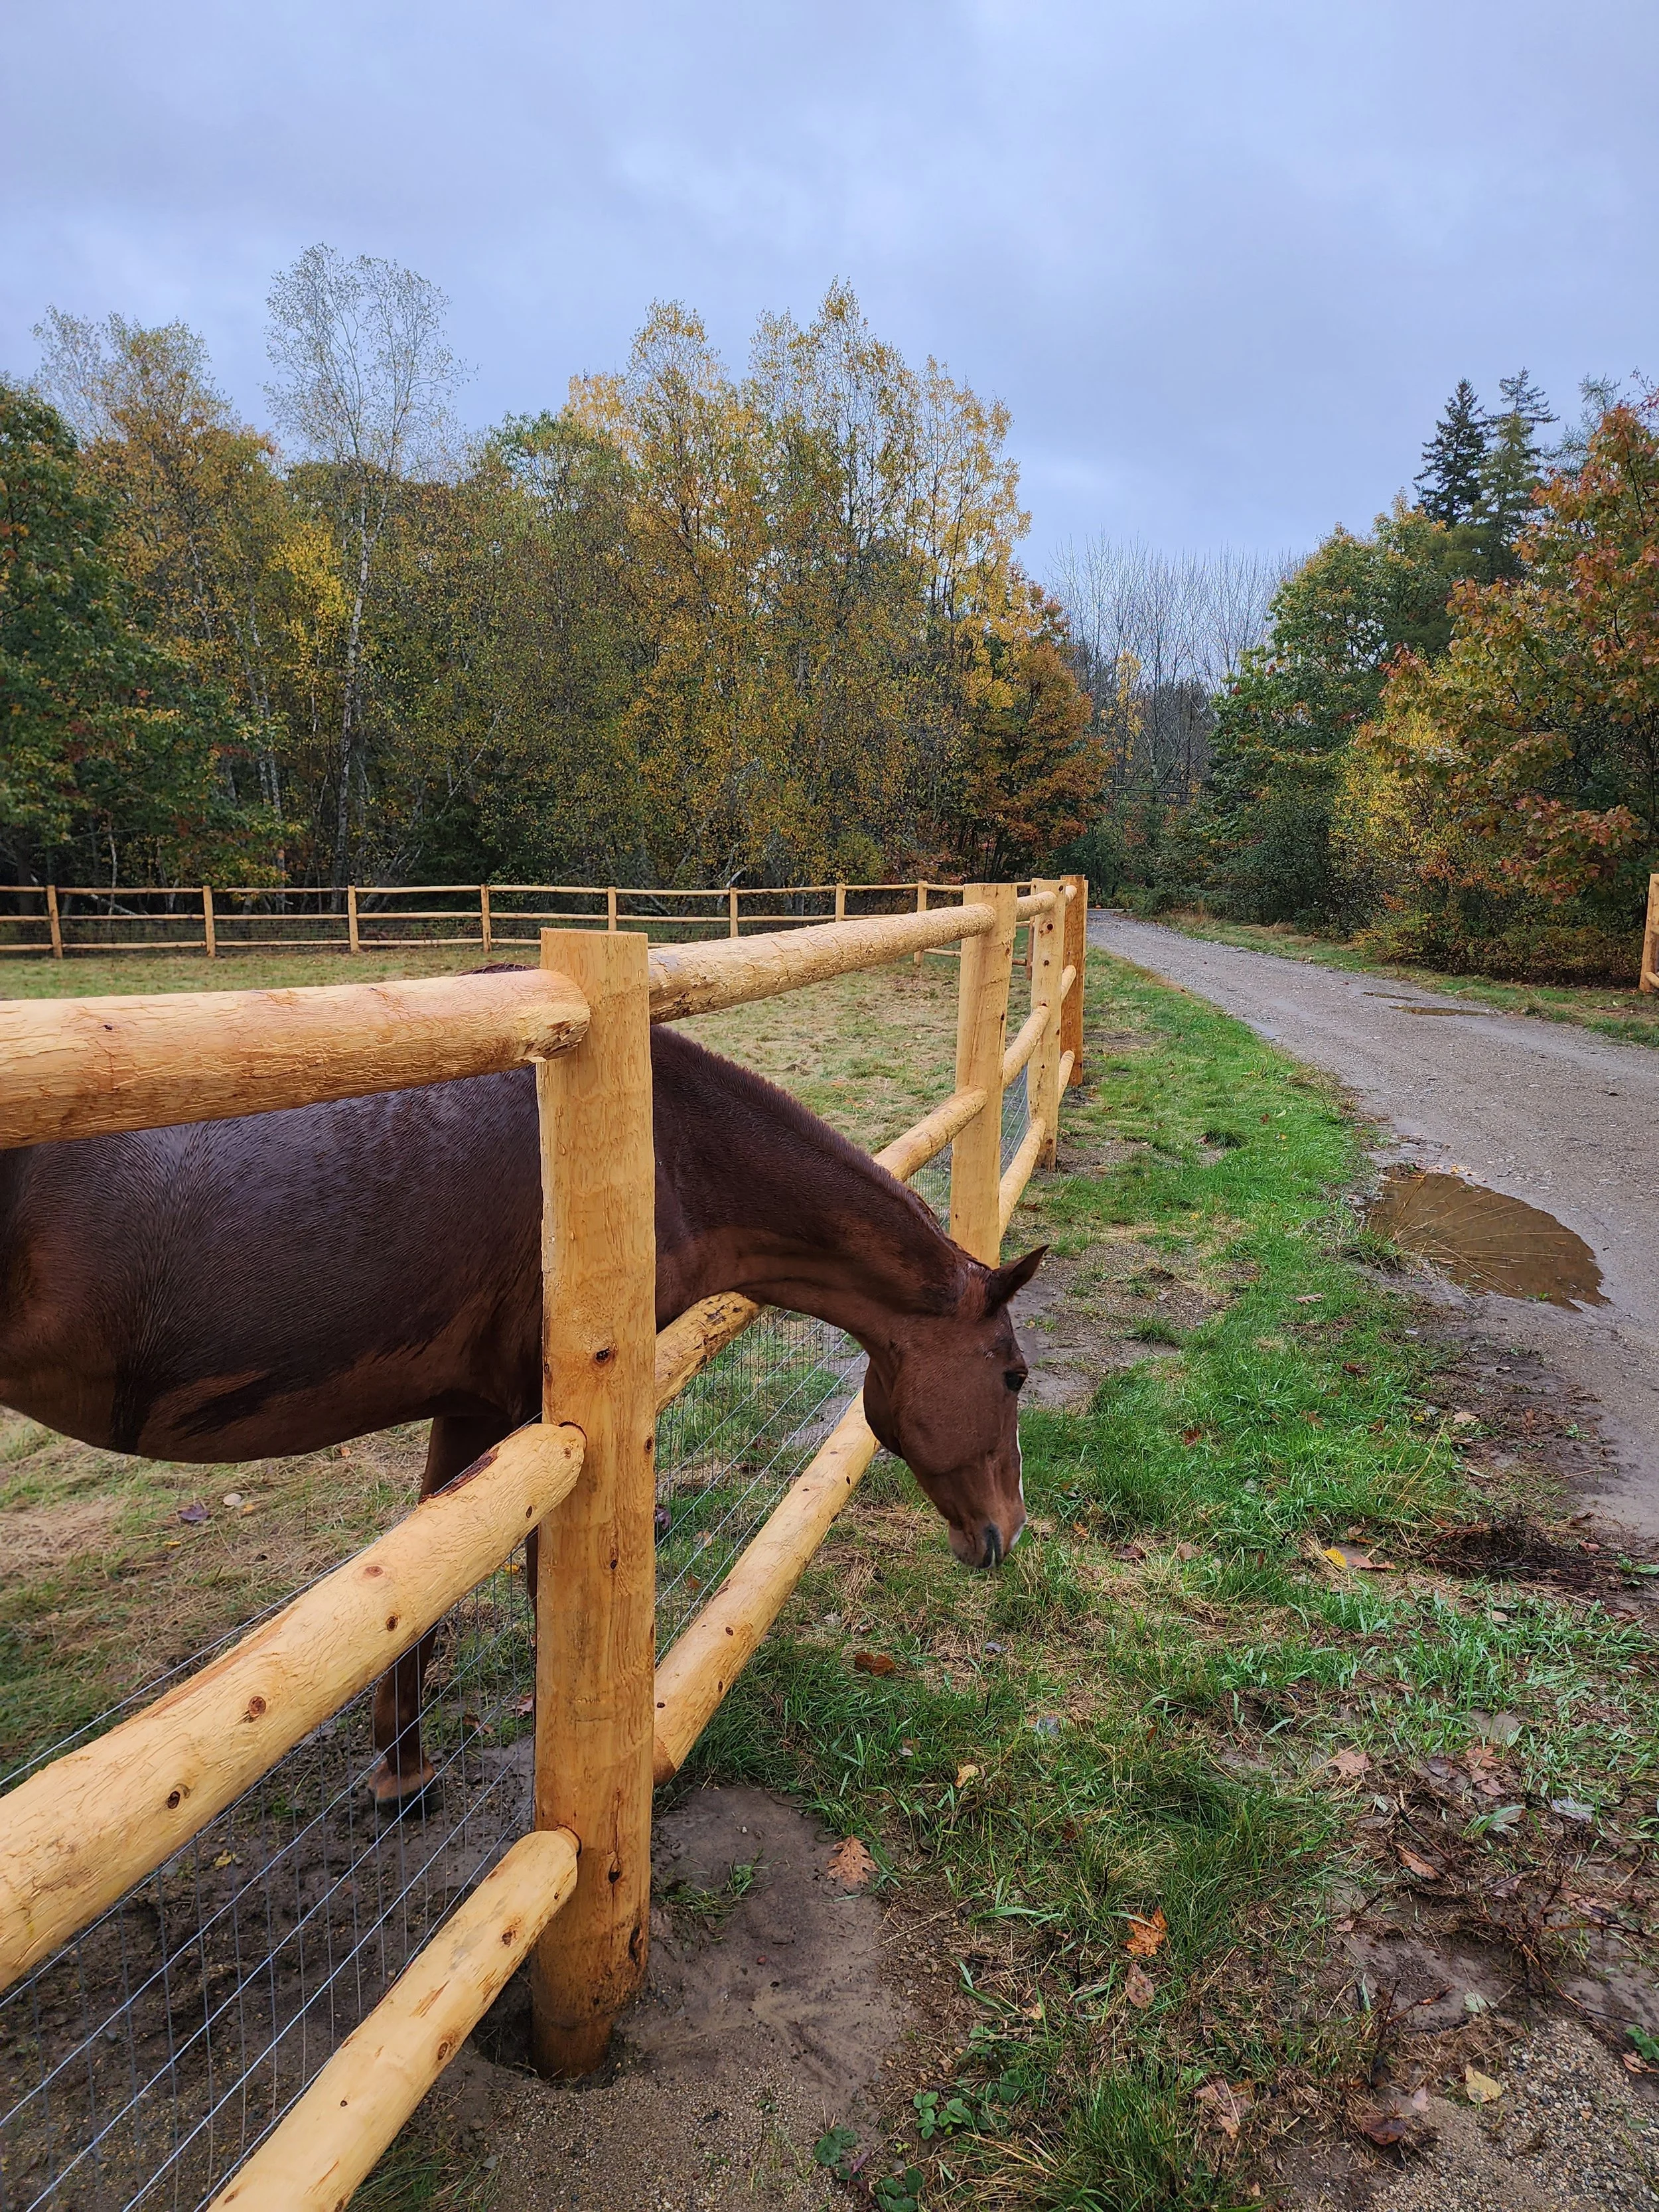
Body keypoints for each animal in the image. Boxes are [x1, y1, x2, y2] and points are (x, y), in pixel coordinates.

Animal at [0, 1013, 1043, 1805]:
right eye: (1013, 1377)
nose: (1006, 1531)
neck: (664, 1147)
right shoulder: (538, 1411)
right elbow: (536, 1587)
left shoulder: (472, 1407)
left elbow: (421, 1587)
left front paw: (402, 1773)